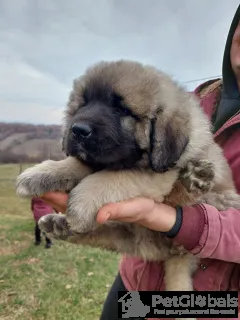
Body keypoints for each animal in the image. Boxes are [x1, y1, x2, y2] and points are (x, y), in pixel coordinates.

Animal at [15, 60, 240, 316]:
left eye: (122, 110)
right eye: (83, 104)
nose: (78, 130)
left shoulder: (157, 174)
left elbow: (110, 178)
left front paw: (81, 202)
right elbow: (78, 163)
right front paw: (43, 173)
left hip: (215, 202)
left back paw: (193, 180)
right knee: (102, 233)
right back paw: (57, 224)